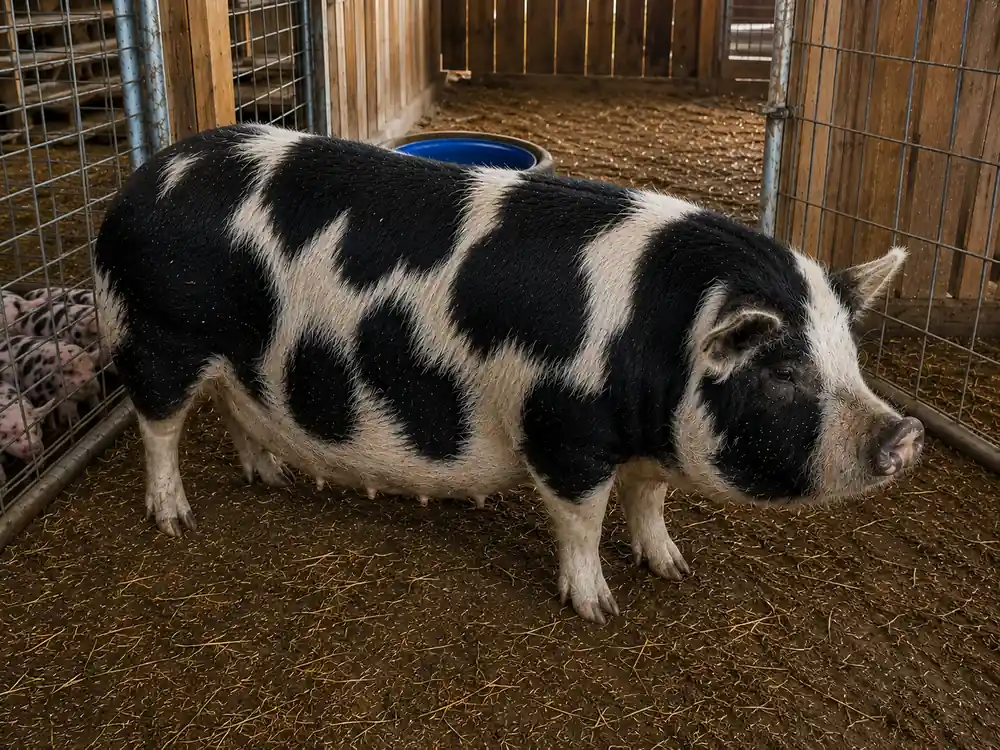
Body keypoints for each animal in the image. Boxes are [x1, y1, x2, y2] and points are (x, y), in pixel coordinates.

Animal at [92, 124, 924, 623]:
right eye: (783, 372)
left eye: (851, 359)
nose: (906, 434)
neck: (655, 341)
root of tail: (139, 182)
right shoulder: (563, 431)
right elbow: (584, 521)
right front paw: (600, 610)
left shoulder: (645, 443)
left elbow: (650, 502)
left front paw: (673, 570)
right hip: (159, 338)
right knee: (160, 429)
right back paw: (176, 519)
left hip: (236, 357)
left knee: (236, 409)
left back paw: (272, 476)